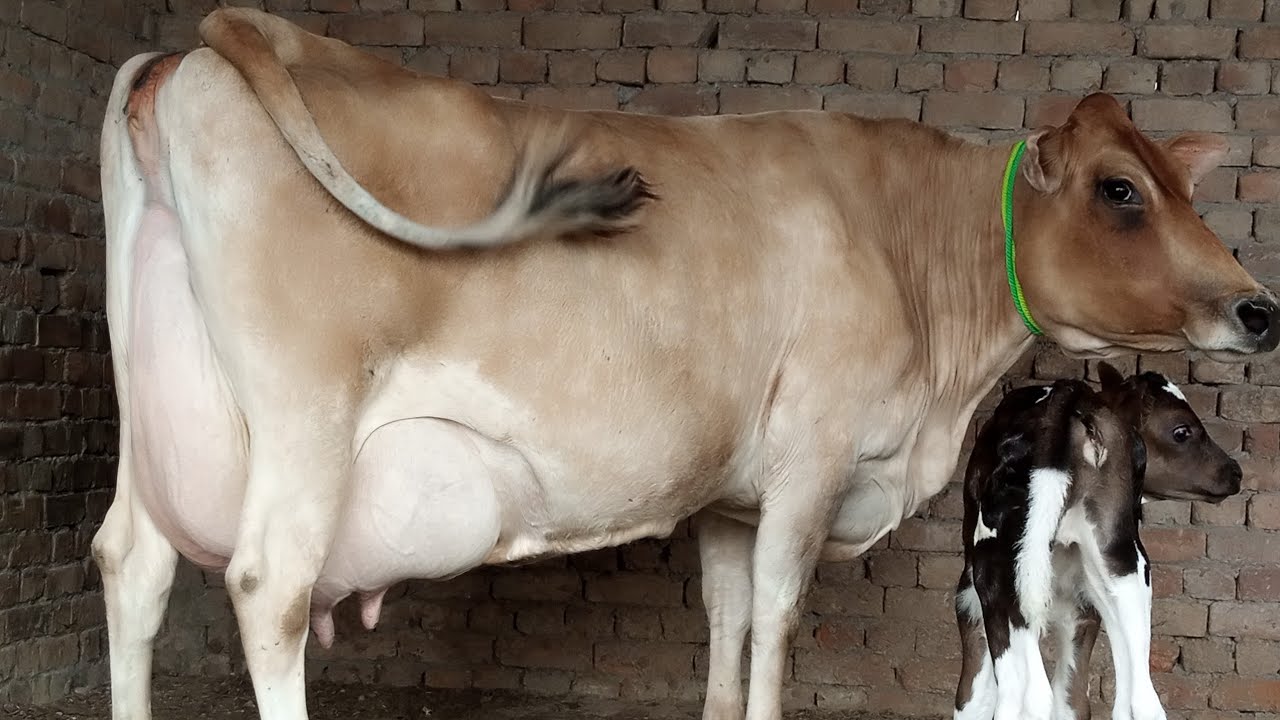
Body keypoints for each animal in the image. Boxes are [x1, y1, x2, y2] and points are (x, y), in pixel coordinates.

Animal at [952, 363, 1241, 720]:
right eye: (1181, 431)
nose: (1236, 471)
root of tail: (1071, 396)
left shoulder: (975, 602)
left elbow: (977, 698)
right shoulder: (1081, 610)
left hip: (1005, 580)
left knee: (1027, 695)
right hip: (1123, 567)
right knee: (1138, 699)